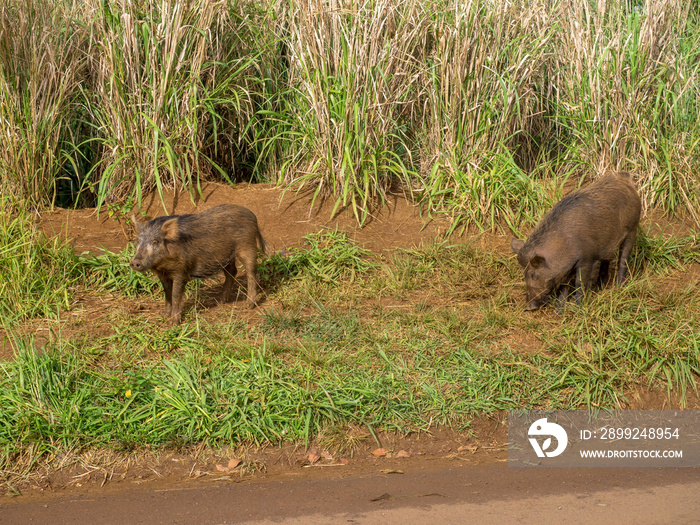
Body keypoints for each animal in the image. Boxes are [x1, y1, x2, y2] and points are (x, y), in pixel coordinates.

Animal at [129, 204, 266, 324]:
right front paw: (164, 315)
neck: (163, 265)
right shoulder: (162, 274)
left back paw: (248, 306)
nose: (135, 262)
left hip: (248, 247)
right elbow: (167, 293)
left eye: (155, 242)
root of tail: (252, 215)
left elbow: (175, 295)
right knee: (232, 272)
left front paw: (174, 322)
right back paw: (221, 301)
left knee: (251, 272)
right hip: (226, 256)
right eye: (138, 241)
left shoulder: (181, 271)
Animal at [508, 172, 640, 312]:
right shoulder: (567, 267)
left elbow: (579, 283)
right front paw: (558, 311)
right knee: (606, 262)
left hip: (633, 228)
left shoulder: (587, 258)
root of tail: (627, 181)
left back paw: (619, 286)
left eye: (533, 274)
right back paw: (599, 287)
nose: (529, 307)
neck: (563, 243)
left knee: (623, 260)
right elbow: (564, 286)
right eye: (523, 273)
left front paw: (578, 308)